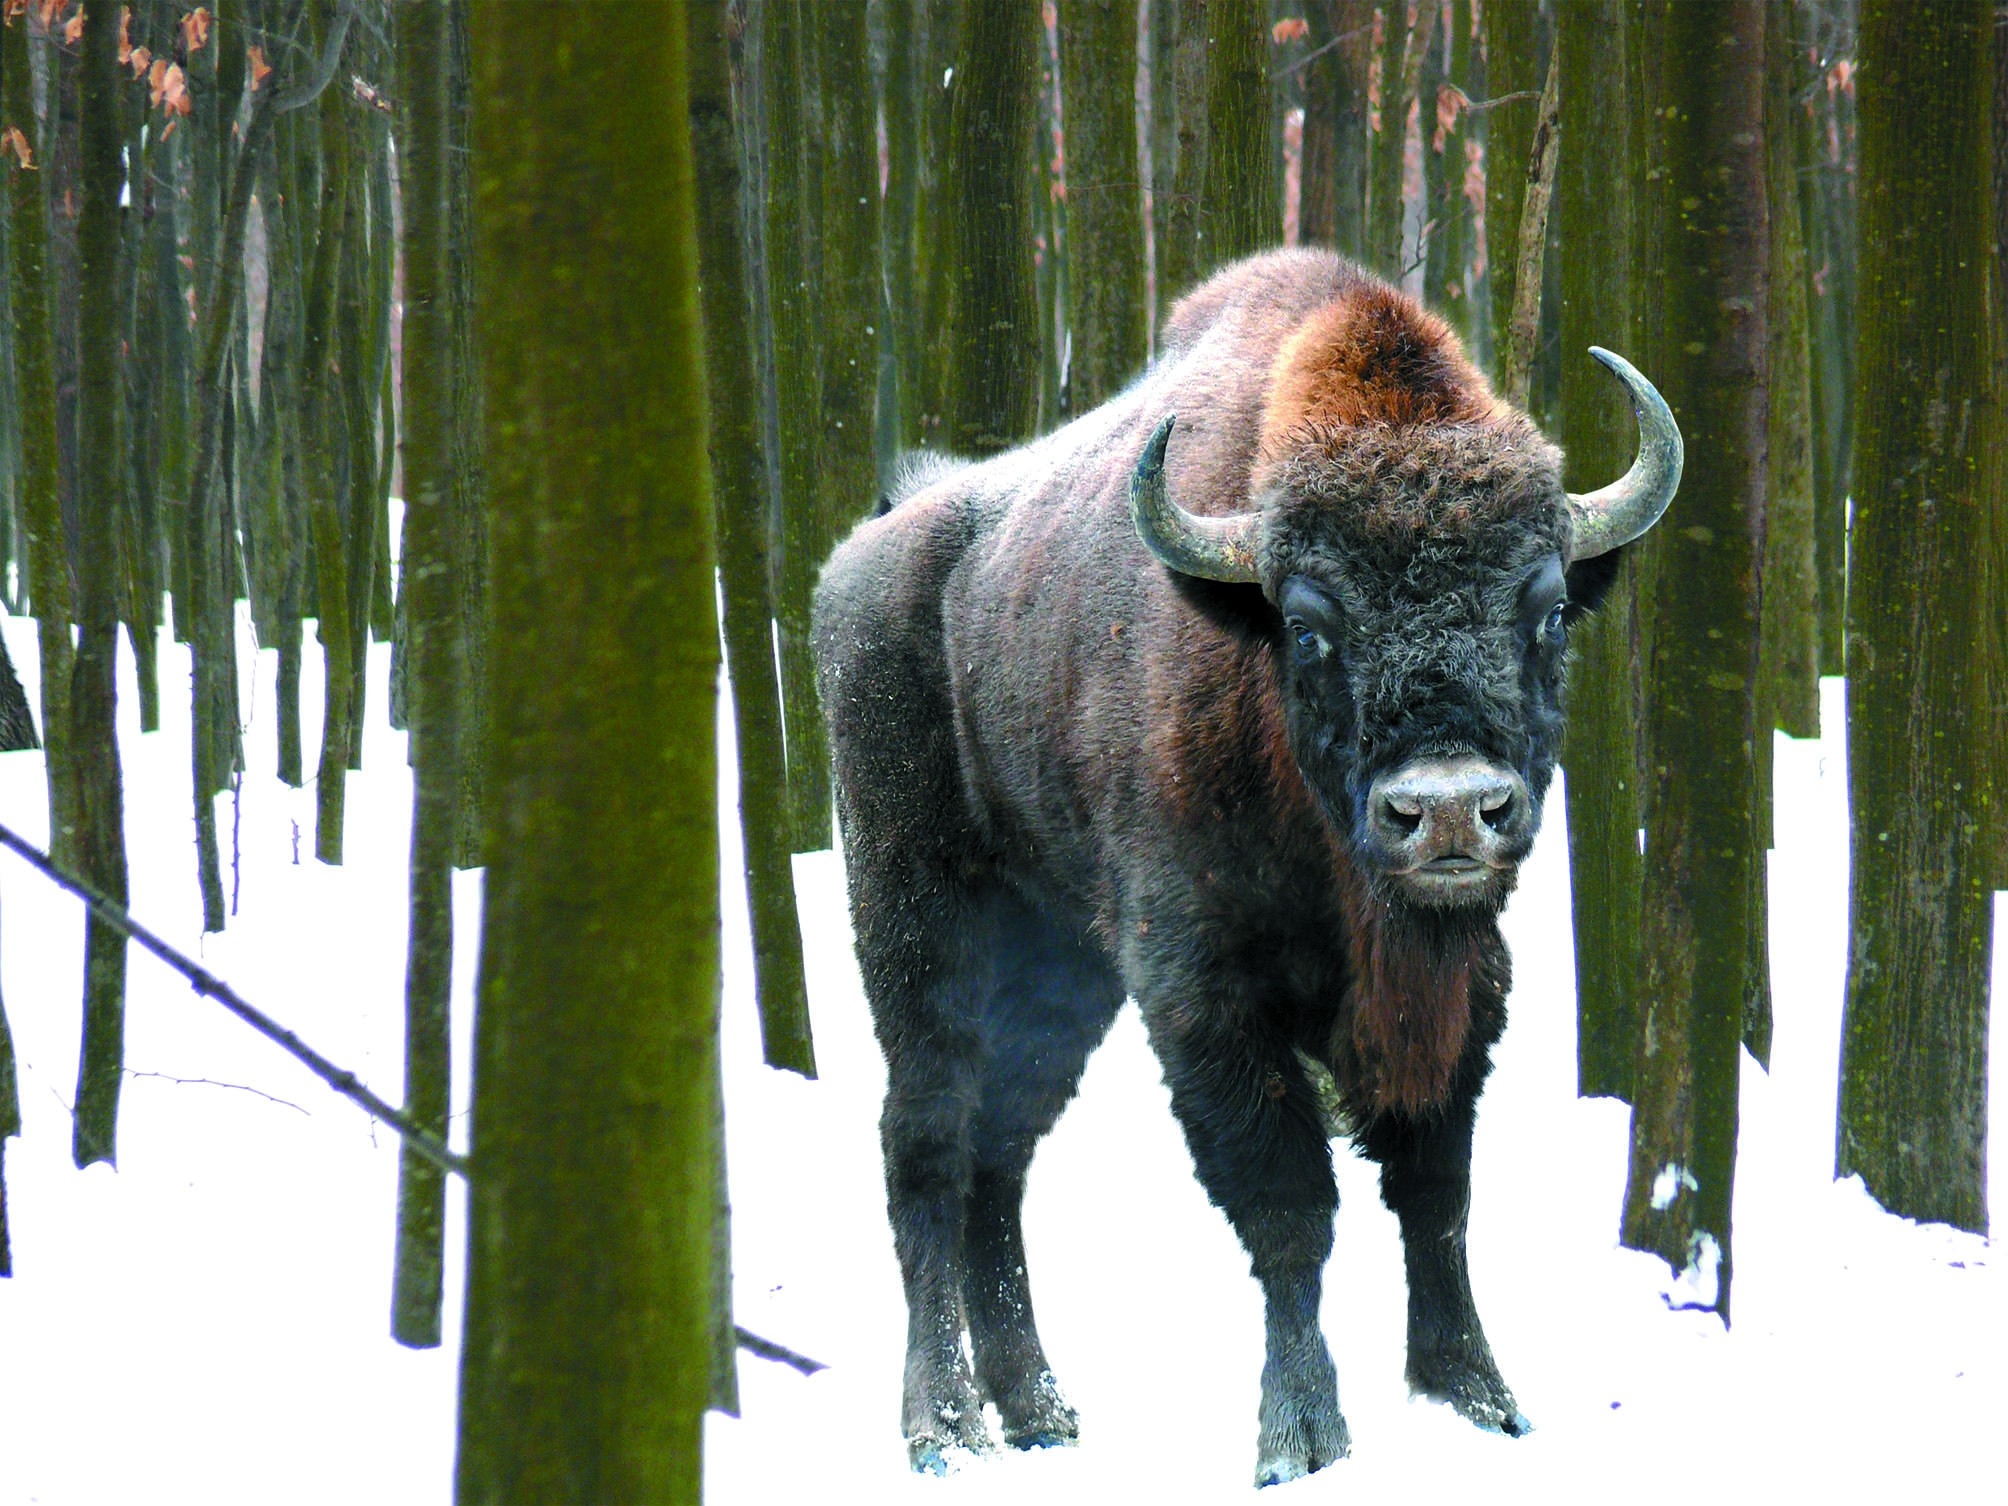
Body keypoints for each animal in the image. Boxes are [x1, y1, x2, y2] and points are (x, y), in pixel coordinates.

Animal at [815, 247, 1678, 1485]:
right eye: (1309, 621)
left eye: (1550, 607)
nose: (1449, 812)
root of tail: (875, 545)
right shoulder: (1206, 1001)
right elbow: (1287, 1205)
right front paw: (1302, 1439)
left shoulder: (1466, 996)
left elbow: (1436, 1192)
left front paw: (1477, 1400)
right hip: (911, 914)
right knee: (926, 1143)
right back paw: (943, 1430)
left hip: (1059, 966)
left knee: (1001, 1152)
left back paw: (1039, 1411)